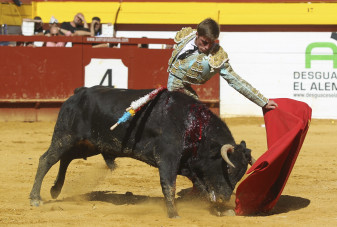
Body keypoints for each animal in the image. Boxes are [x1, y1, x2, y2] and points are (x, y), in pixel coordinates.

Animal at [30, 86, 253, 217]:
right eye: (229, 169)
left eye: (241, 173)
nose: (225, 197)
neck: (192, 125)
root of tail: (78, 93)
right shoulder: (168, 158)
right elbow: (169, 184)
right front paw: (174, 214)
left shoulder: (187, 164)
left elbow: (201, 187)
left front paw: (216, 210)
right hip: (65, 136)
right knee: (46, 159)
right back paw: (35, 198)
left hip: (90, 144)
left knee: (65, 158)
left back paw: (55, 189)